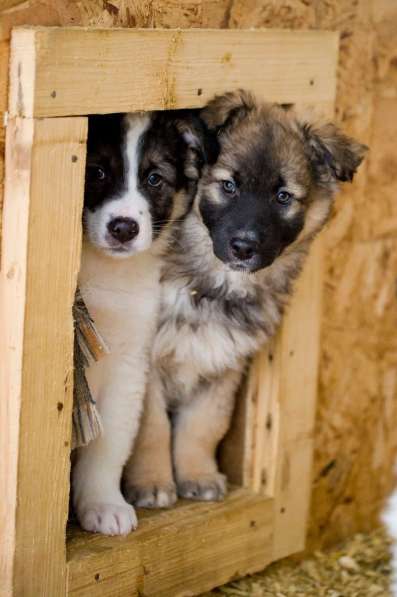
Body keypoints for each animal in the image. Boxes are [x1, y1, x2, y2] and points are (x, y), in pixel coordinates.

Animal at [72, 109, 201, 532]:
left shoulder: (128, 366)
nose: (124, 228)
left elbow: (109, 444)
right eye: (95, 172)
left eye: (154, 178)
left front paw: (102, 504)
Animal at [124, 91, 368, 506]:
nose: (244, 247)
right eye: (229, 185)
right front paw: (152, 483)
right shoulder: (149, 365)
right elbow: (151, 430)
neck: (214, 287)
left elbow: (204, 426)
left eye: (283, 197)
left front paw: (198, 474)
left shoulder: (224, 367)